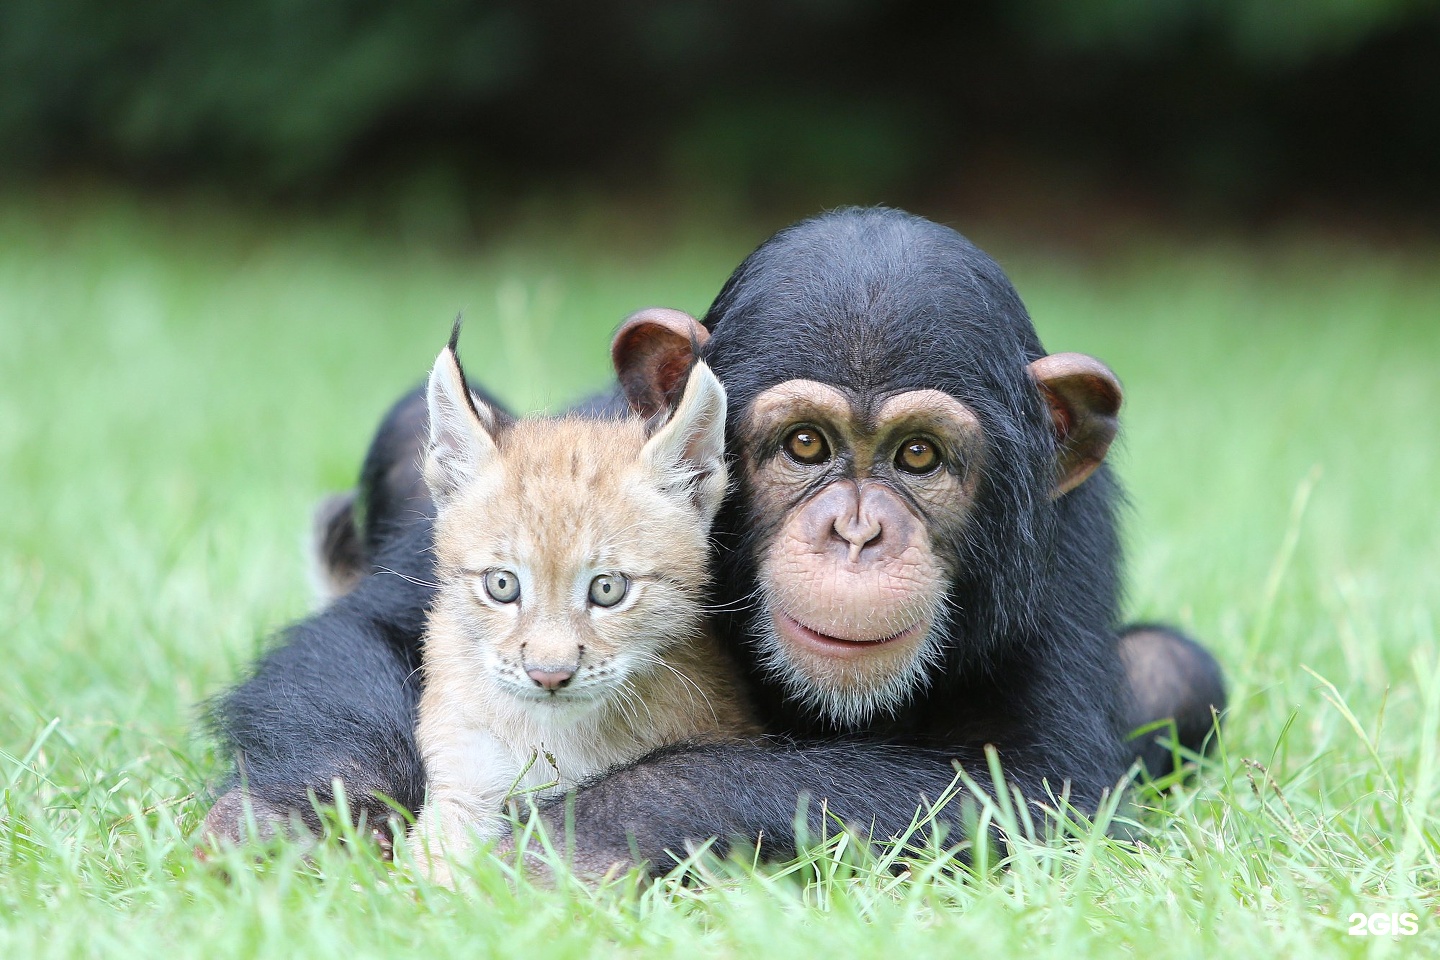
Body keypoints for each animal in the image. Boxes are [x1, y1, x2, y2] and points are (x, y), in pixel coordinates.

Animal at [408, 328, 754, 880]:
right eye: (502, 585)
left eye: (608, 589)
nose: (549, 676)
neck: (553, 734)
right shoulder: (462, 785)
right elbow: (428, 874)